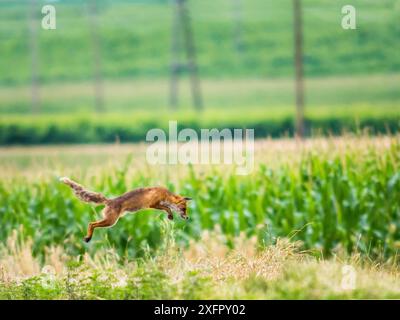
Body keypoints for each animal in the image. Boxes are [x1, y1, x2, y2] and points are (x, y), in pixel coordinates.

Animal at [59, 178, 192, 242]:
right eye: (184, 209)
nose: (187, 217)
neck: (166, 194)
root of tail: (110, 200)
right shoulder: (153, 204)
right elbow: (167, 207)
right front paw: (170, 215)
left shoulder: (155, 205)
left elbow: (167, 208)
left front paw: (170, 215)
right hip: (111, 221)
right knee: (91, 224)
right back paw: (88, 238)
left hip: (110, 221)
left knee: (92, 223)